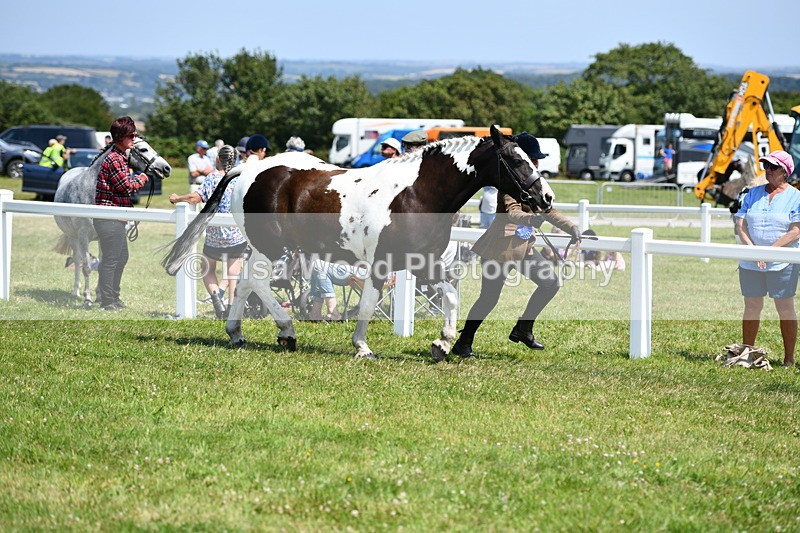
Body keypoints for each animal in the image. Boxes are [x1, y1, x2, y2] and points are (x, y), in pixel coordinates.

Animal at [54, 138, 172, 306]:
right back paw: (76, 291)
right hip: (73, 237)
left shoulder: (105, 237)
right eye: (143, 149)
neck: (92, 192)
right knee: (77, 261)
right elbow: (87, 267)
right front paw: (88, 298)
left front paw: (99, 295)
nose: (166, 168)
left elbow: (103, 265)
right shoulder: (83, 237)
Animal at [162, 125, 554, 360]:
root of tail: (249, 168)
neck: (416, 194)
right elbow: (367, 304)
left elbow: (451, 295)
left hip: (265, 248)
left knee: (244, 283)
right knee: (256, 283)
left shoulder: (423, 261)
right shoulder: (381, 263)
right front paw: (362, 347)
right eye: (515, 160)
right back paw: (287, 332)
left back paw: (237, 333)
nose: (546, 198)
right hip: (271, 247)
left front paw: (442, 344)